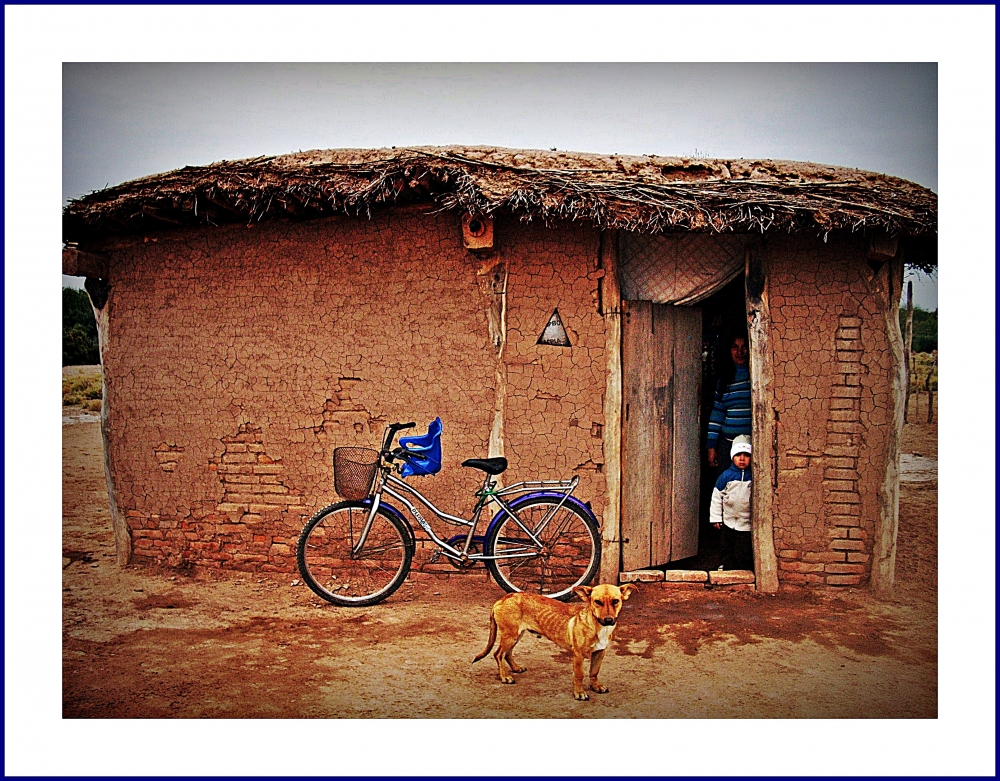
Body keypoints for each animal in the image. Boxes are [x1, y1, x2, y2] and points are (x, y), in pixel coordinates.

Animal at [472, 580, 636, 700]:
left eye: (616, 601)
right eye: (597, 602)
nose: (608, 620)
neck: (596, 624)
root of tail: (502, 599)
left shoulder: (600, 652)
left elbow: (594, 672)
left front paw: (596, 686)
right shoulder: (578, 655)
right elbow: (579, 675)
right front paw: (579, 693)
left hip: (516, 635)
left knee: (507, 654)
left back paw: (516, 668)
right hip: (510, 636)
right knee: (498, 654)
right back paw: (505, 676)